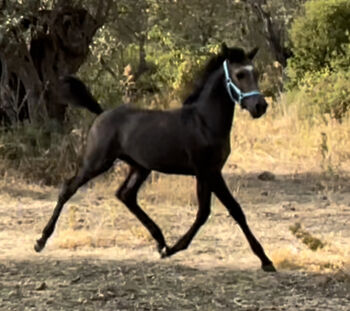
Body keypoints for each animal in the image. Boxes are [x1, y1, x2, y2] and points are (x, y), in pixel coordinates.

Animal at [35, 44, 276, 272]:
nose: (260, 106)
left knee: (125, 195)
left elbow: (215, 211)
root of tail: (101, 113)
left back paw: (160, 241)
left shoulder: (209, 172)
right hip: (97, 162)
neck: (204, 122)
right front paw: (265, 260)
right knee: (68, 188)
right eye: (239, 74)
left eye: (255, 72)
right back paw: (41, 240)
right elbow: (221, 211)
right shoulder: (208, 171)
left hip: (140, 167)